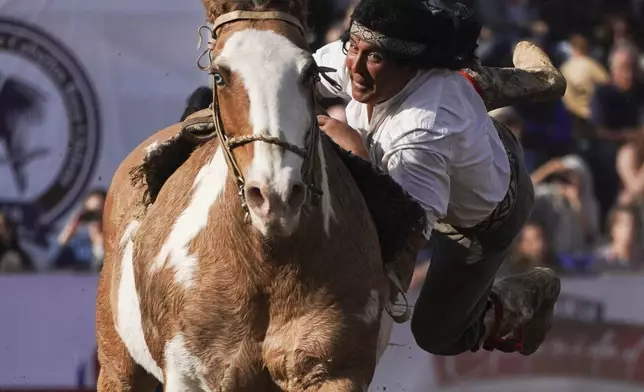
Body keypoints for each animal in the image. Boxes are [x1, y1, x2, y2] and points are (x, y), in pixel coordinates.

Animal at [95, 1, 428, 390]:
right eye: (220, 75)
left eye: (309, 71)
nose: (275, 195)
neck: (265, 259)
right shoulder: (188, 375)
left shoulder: (332, 370)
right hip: (118, 366)